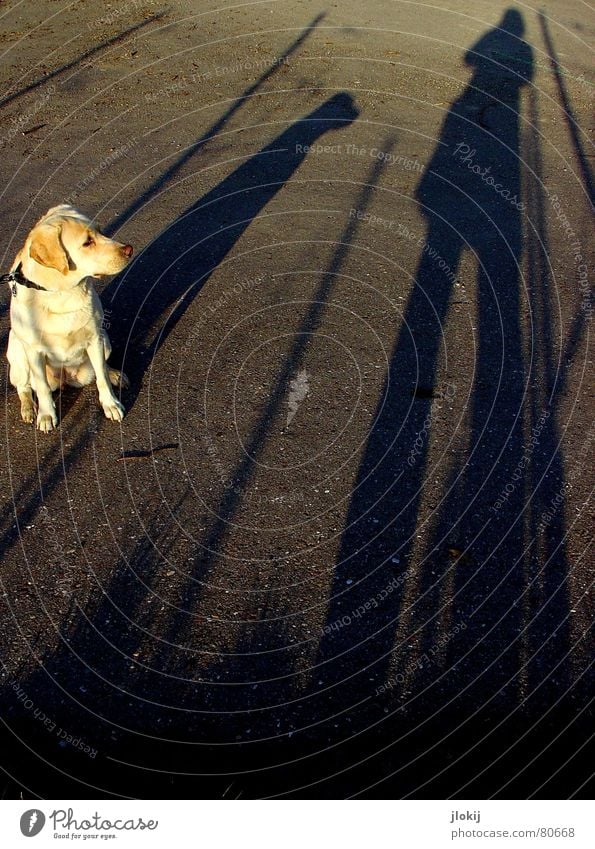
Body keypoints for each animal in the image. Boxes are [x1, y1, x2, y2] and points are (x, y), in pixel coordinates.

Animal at [4, 205, 132, 430]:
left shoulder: (95, 338)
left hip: (105, 339)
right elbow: (42, 388)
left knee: (102, 367)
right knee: (25, 387)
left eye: (101, 231)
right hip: (18, 352)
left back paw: (115, 374)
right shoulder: (34, 350)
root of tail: (65, 379)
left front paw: (111, 404)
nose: (129, 249)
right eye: (87, 242)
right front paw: (46, 415)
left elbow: (101, 376)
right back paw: (29, 408)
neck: (61, 294)